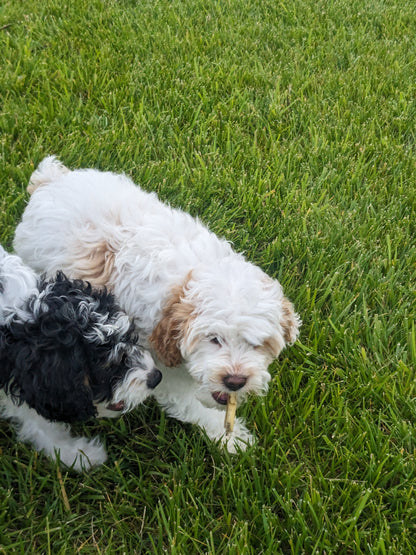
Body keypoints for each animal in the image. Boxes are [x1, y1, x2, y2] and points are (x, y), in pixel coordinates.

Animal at [13, 156, 300, 452]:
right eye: (213, 339)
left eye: (258, 344)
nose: (235, 380)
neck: (184, 286)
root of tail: (51, 180)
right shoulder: (159, 364)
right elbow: (187, 404)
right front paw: (232, 439)